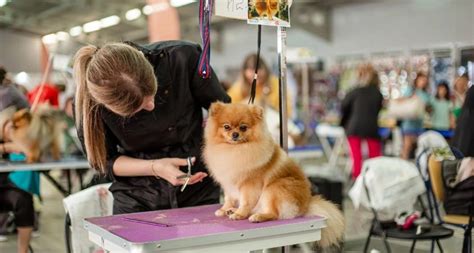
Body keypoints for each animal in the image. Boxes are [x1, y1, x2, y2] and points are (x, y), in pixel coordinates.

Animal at [204, 102, 344, 248]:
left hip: (275, 187)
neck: (235, 149)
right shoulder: (228, 182)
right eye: (226, 126)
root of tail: (306, 205)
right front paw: (224, 209)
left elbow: (246, 202)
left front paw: (240, 214)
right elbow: (229, 198)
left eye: (243, 127)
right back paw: (232, 210)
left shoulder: (249, 184)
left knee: (274, 213)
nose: (235, 134)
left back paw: (257, 217)